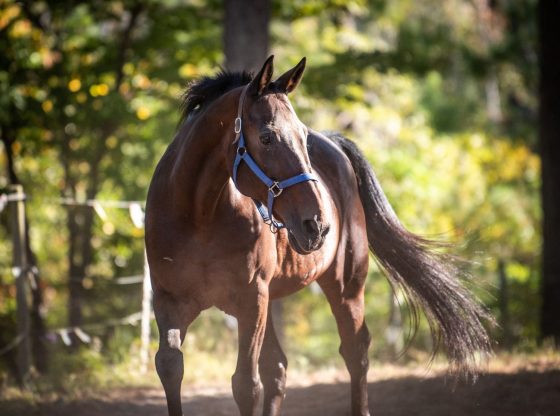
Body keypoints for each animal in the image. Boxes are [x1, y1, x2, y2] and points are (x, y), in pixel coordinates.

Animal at [145, 56, 490, 416]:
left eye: (302, 136)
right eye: (266, 137)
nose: (317, 225)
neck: (199, 217)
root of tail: (336, 146)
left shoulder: (252, 300)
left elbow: (246, 385)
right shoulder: (169, 301)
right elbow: (170, 367)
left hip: (345, 287)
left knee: (355, 353)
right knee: (278, 368)